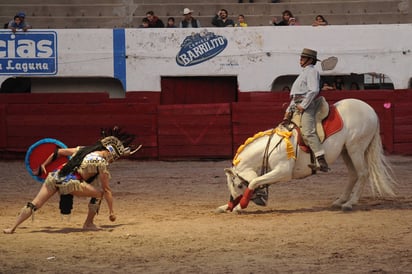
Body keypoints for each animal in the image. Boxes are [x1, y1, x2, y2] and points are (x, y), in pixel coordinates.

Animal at [219, 97, 396, 213]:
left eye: (239, 185)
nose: (232, 202)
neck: (272, 147)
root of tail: (371, 111)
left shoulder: (283, 172)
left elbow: (255, 181)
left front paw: (240, 205)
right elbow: (258, 180)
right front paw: (226, 207)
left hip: (356, 149)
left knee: (363, 173)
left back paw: (350, 203)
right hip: (346, 151)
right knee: (353, 174)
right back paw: (340, 201)